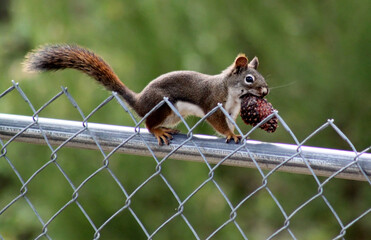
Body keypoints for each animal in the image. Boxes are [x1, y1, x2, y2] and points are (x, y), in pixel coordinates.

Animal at [23, 45, 268, 146]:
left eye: (262, 76)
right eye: (249, 79)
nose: (265, 91)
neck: (233, 94)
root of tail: (139, 101)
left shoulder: (231, 111)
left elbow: (230, 122)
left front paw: (236, 133)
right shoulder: (213, 102)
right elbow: (218, 122)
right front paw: (230, 134)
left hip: (172, 114)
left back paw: (166, 129)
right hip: (162, 105)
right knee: (149, 124)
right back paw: (158, 131)